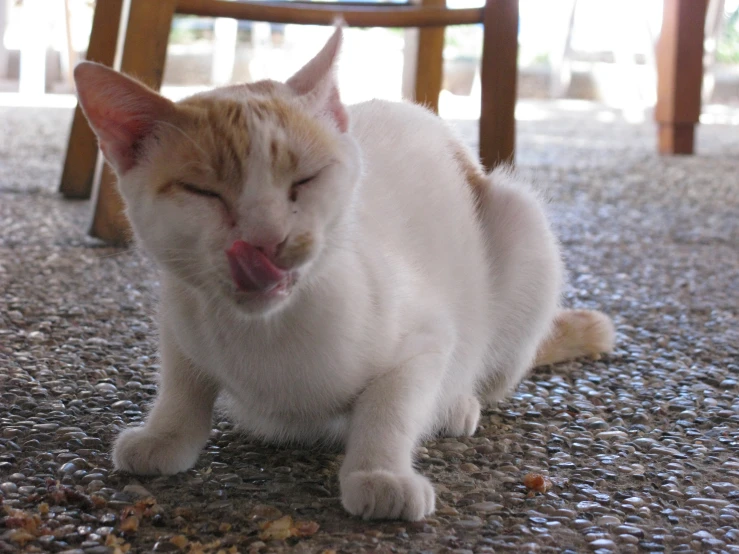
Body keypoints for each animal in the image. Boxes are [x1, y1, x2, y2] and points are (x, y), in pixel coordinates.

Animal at [73, 24, 620, 516]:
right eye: (203, 192)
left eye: (305, 180)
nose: (267, 239)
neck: (267, 334)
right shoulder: (179, 311)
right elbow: (182, 380)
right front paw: (167, 432)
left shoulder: (426, 337)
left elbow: (391, 404)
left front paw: (379, 473)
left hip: (522, 225)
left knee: (488, 364)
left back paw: (458, 403)